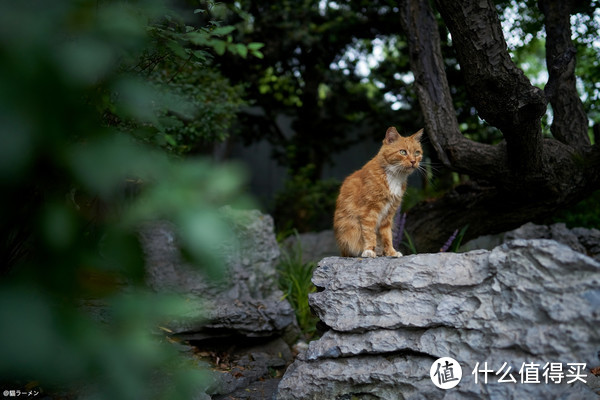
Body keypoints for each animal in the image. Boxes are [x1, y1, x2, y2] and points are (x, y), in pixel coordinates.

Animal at [336, 126, 424, 258]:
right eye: (403, 152)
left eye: (417, 153)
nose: (414, 161)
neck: (394, 176)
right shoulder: (369, 211)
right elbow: (369, 233)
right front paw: (368, 250)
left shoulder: (388, 215)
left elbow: (387, 237)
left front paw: (391, 252)